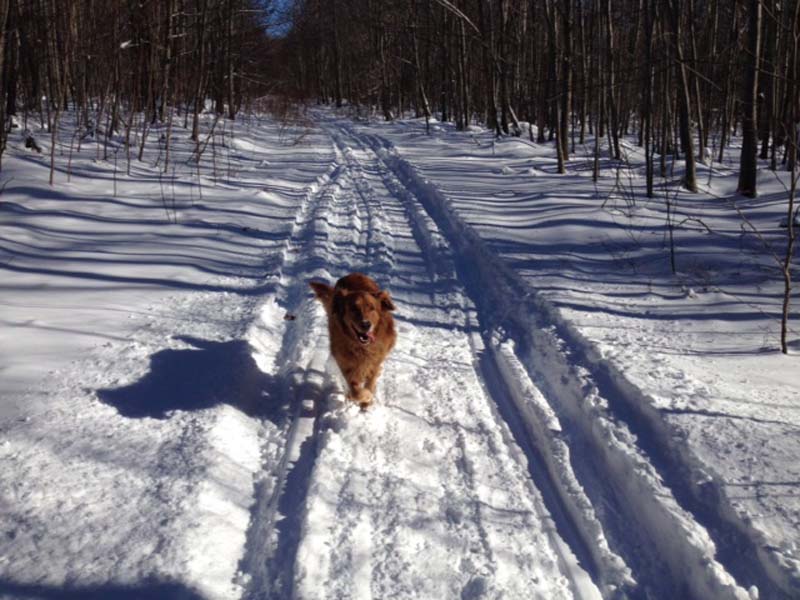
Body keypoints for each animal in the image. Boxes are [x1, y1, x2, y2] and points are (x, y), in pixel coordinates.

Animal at [310, 274, 396, 408]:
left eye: (372, 308)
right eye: (353, 308)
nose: (366, 324)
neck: (361, 347)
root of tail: (354, 274)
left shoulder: (374, 361)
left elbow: (370, 383)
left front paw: (367, 401)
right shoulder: (345, 363)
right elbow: (356, 391)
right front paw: (362, 396)